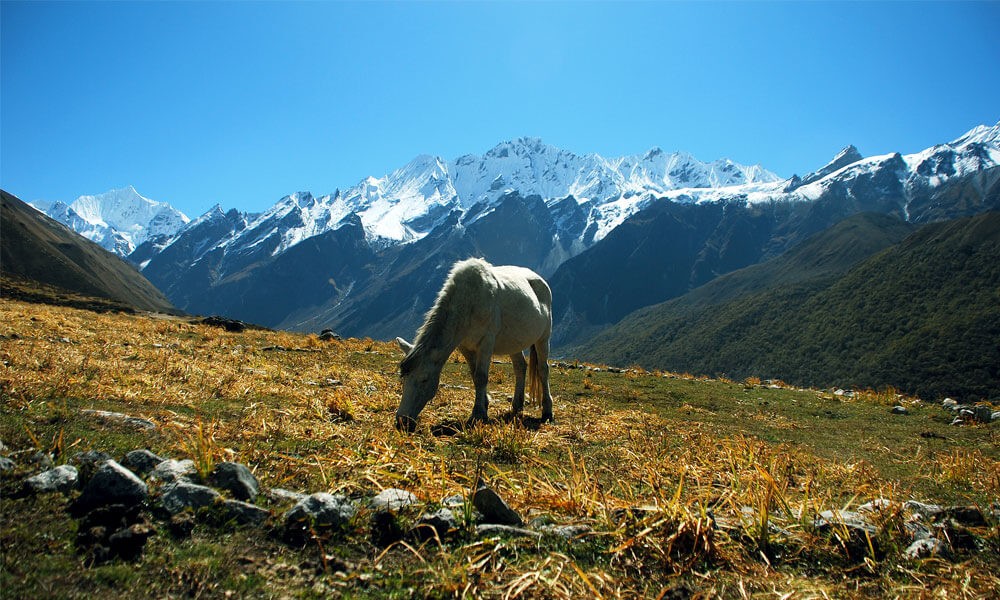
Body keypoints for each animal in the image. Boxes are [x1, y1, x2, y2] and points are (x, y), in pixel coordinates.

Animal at [394, 258, 556, 432]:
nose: (402, 421)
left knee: (543, 370)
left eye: (424, 379)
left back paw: (547, 411)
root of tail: (539, 279)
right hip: (514, 342)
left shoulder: (486, 342)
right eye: (404, 378)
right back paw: (517, 406)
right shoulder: (465, 347)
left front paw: (478, 414)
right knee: (520, 367)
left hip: (543, 338)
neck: (469, 301)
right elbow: (474, 375)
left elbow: (481, 376)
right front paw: (484, 405)